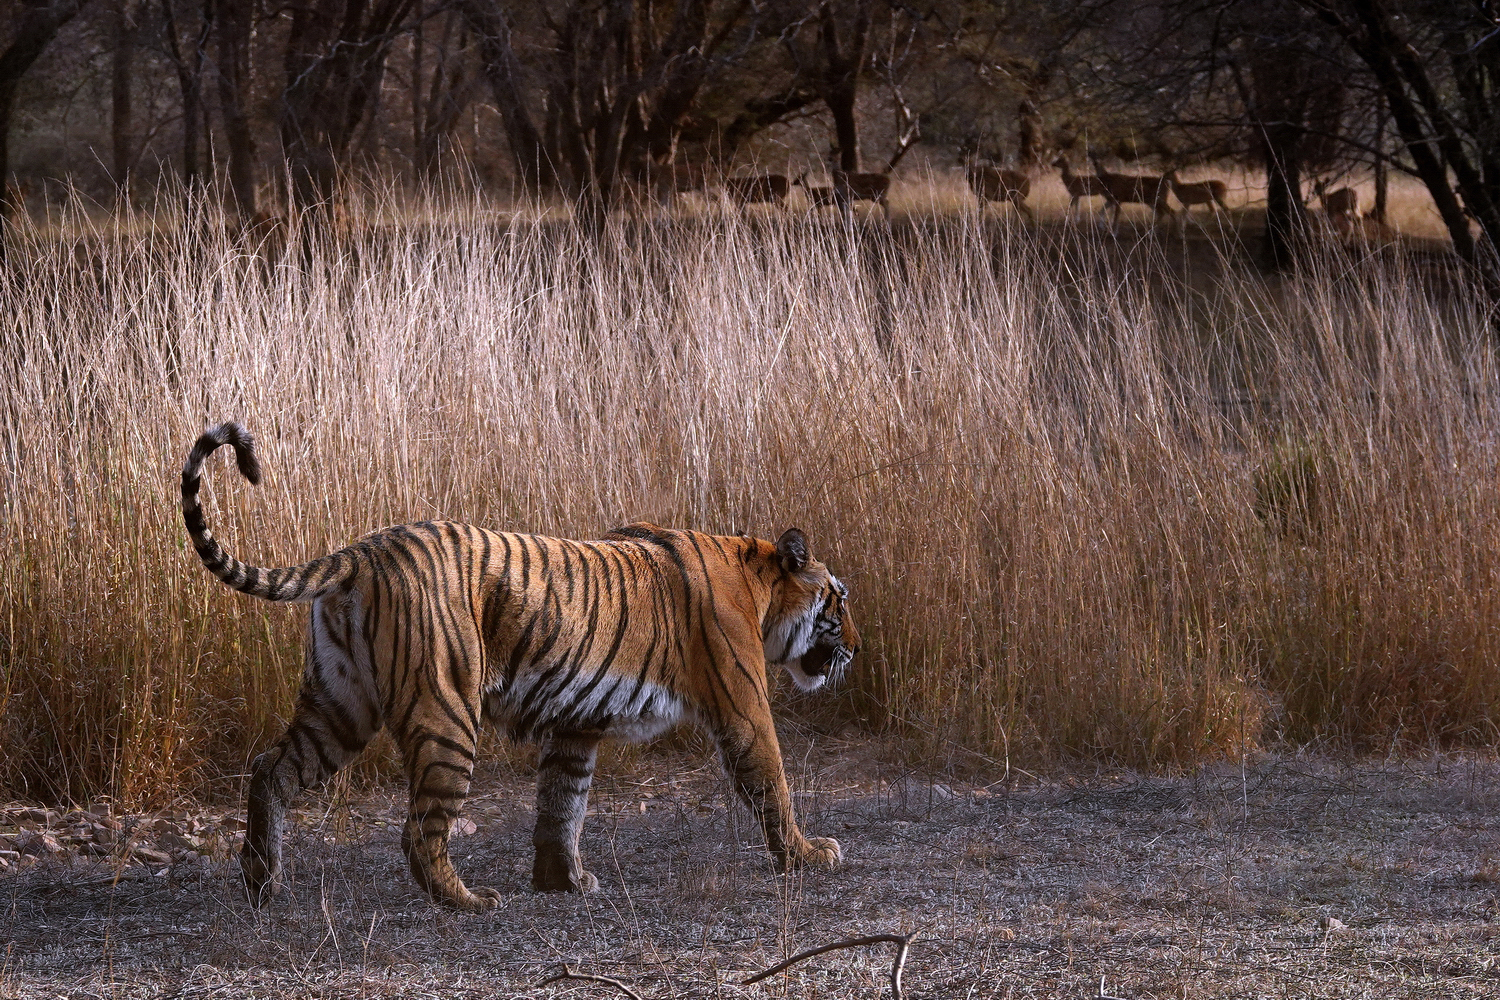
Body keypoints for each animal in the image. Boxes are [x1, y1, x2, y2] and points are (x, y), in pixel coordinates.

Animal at [178, 419, 858, 905]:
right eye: (840, 598)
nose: (856, 645)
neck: (758, 583)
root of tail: (363, 550)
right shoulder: (743, 708)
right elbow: (772, 781)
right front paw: (808, 855)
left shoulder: (577, 724)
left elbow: (563, 801)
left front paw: (564, 881)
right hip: (445, 711)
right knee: (418, 829)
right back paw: (468, 901)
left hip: (340, 706)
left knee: (270, 769)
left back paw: (262, 882)